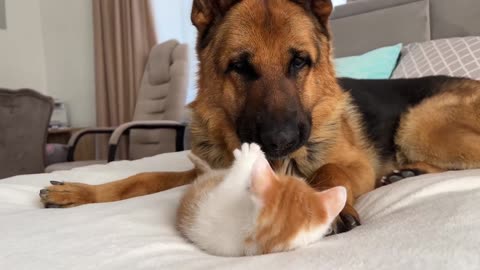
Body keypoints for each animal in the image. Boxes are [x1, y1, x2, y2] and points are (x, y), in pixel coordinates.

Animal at [40, 0, 480, 232]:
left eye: (299, 62)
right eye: (240, 67)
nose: (281, 140)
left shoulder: (353, 165)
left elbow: (328, 172)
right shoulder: (199, 172)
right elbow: (141, 177)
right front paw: (80, 192)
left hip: (421, 122)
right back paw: (407, 173)